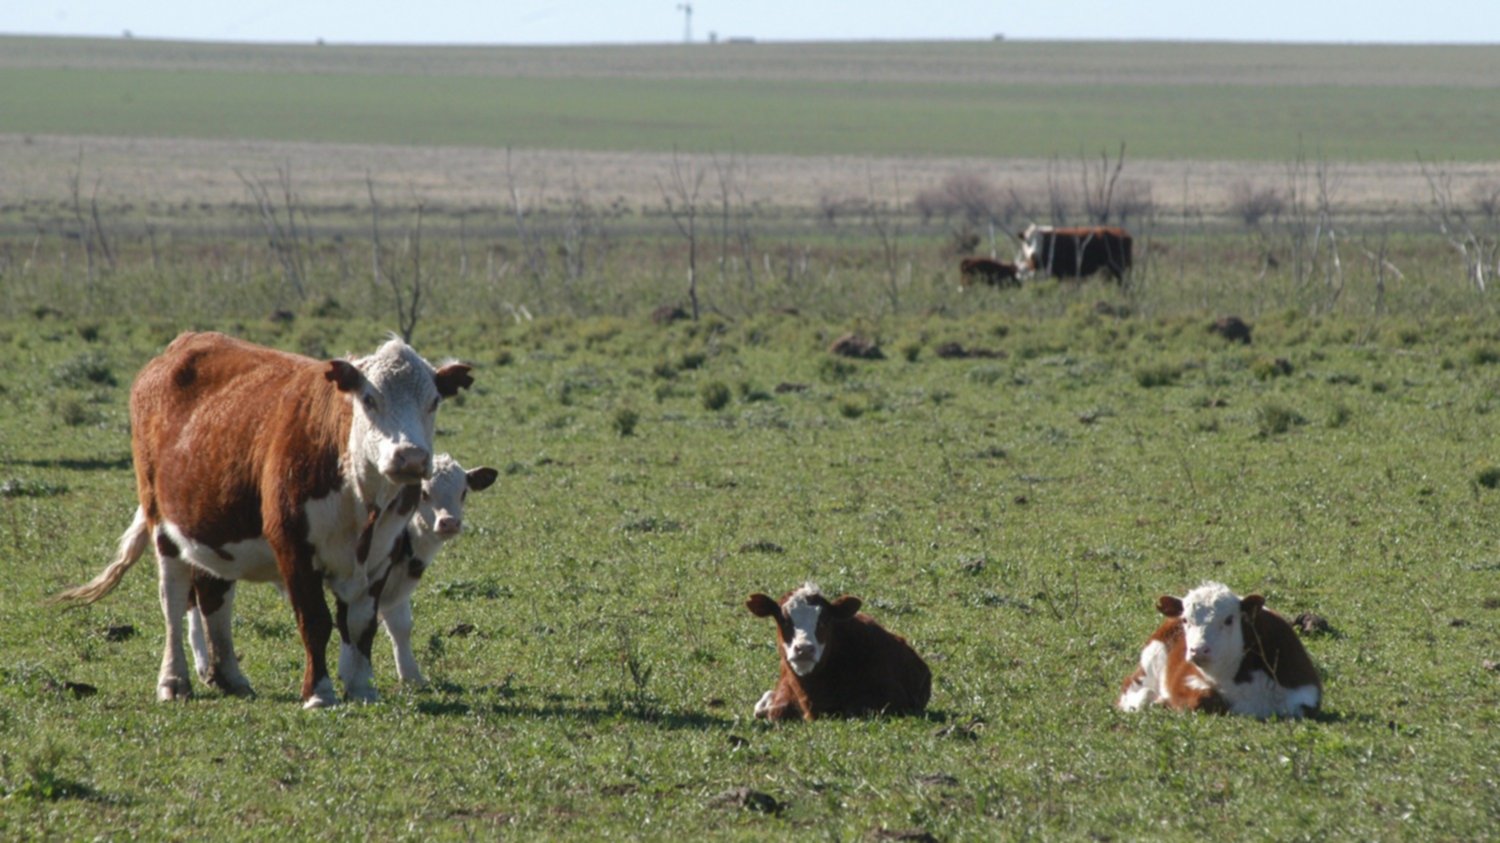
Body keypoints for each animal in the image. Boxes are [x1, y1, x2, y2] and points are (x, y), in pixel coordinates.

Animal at [184, 453, 501, 690]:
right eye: (423, 493)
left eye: (463, 492)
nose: (449, 522)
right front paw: (355, 674)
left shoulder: (392, 582)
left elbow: (399, 626)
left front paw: (411, 675)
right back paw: (204, 665)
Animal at [1116, 582, 1326, 720]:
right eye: (1185, 619)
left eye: (1229, 619)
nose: (1198, 650)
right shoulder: (1186, 678)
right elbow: (1206, 698)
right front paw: (1162, 702)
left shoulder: (1305, 692)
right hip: (1151, 660)